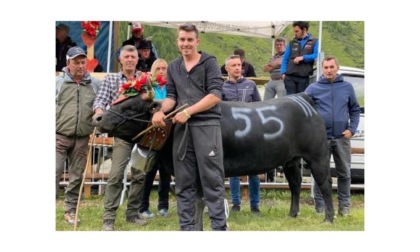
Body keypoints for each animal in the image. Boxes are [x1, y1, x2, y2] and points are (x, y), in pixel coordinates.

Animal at [92, 93, 334, 223]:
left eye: (131, 107)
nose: (98, 118)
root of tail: (301, 98)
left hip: (318, 156)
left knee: (325, 184)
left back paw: (329, 218)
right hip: (291, 160)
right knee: (295, 185)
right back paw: (293, 215)